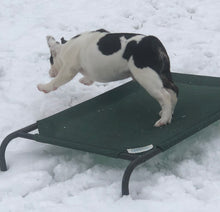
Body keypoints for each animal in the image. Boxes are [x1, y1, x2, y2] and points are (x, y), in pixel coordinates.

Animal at [37, 29, 178, 126]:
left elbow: (57, 81)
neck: (64, 48)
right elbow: (88, 76)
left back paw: (163, 119)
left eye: (50, 60)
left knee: (165, 95)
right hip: (162, 75)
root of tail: (155, 44)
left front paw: (44, 87)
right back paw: (169, 113)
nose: (50, 72)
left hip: (147, 77)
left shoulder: (68, 69)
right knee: (173, 92)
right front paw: (85, 81)